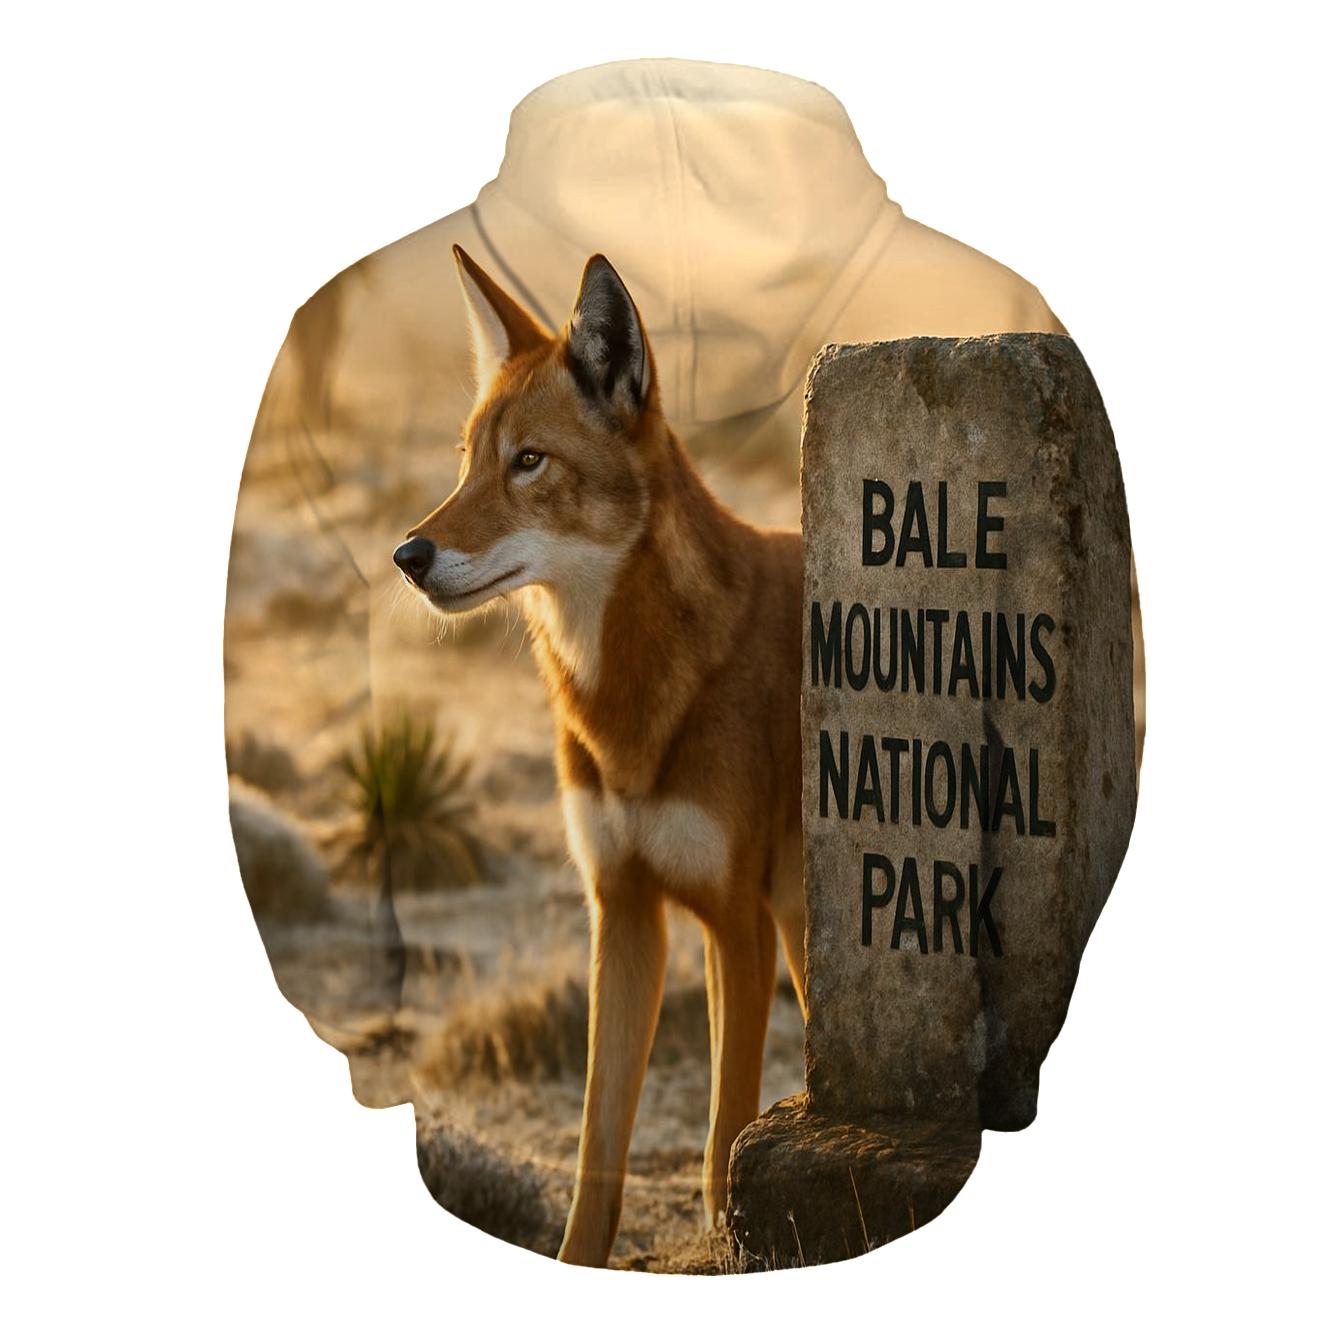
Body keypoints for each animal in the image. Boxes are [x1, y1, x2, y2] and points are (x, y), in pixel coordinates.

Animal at [393, 246, 805, 1266]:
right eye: (466, 459)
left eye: (528, 461)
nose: (406, 554)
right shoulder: (622, 914)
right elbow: (595, 1157)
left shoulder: (732, 925)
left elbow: (720, 1142)